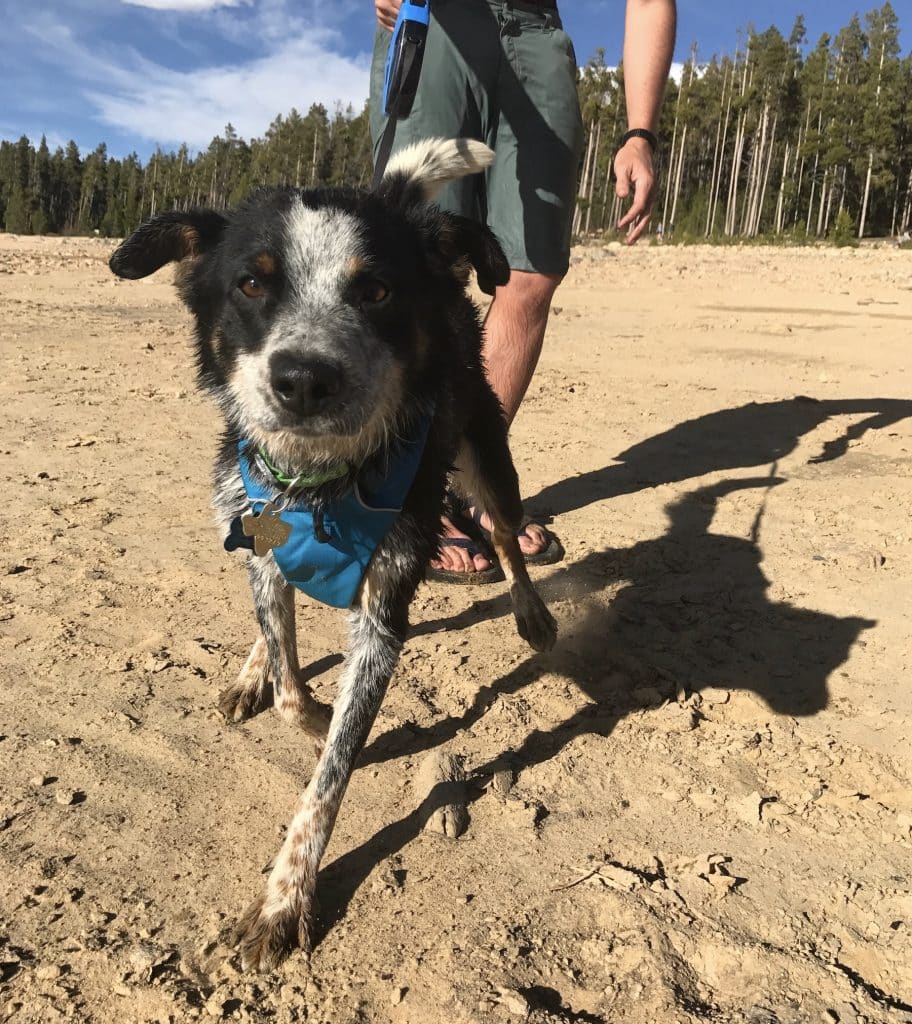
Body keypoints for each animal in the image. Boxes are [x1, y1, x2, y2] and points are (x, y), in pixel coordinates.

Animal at [111, 140, 560, 970]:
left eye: (376, 289)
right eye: (252, 282)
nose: (303, 378)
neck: (319, 483)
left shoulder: (383, 616)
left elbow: (329, 778)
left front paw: (283, 901)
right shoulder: (259, 546)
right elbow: (292, 685)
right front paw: (296, 698)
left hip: (485, 446)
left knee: (504, 531)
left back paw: (533, 613)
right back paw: (252, 670)